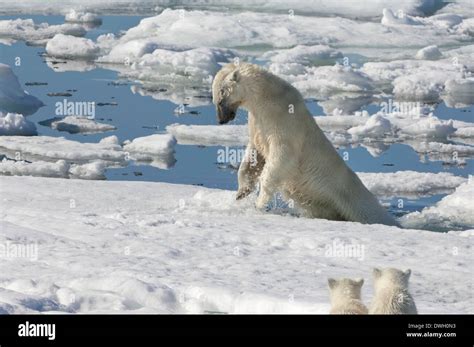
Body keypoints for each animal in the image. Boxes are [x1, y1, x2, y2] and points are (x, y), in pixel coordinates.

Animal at [213, 62, 398, 228]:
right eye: (216, 99)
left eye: (221, 96)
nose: (221, 120)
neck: (267, 96)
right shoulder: (258, 124)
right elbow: (254, 155)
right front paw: (241, 193)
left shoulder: (284, 121)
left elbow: (282, 157)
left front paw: (259, 203)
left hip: (355, 201)